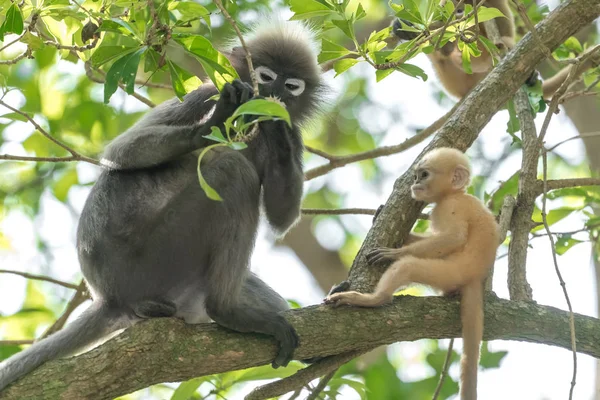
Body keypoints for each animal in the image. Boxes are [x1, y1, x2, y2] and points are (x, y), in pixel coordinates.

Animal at [0, 19, 324, 390]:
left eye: (292, 85)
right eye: (267, 76)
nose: (278, 95)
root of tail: (108, 297)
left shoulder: (297, 138)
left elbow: (283, 216)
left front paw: (278, 122)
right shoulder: (206, 92)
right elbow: (122, 152)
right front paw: (216, 121)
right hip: (155, 258)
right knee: (230, 168)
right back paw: (228, 311)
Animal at [326, 148, 500, 400]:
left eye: (424, 175)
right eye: (417, 175)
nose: (415, 183)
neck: (454, 193)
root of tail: (476, 277)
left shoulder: (451, 207)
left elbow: (453, 238)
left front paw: (393, 252)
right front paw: (380, 215)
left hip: (449, 272)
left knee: (407, 267)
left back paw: (372, 299)